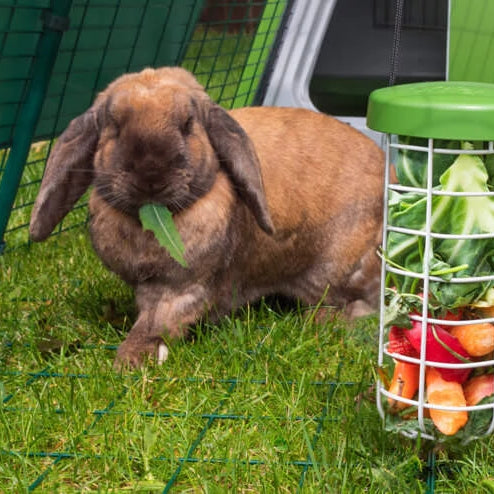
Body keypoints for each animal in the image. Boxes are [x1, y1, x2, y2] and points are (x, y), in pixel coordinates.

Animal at [29, 66, 386, 366]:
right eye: (114, 126)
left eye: (188, 124)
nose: (150, 175)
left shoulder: (184, 288)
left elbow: (158, 321)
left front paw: (132, 359)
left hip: (340, 269)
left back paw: (323, 320)